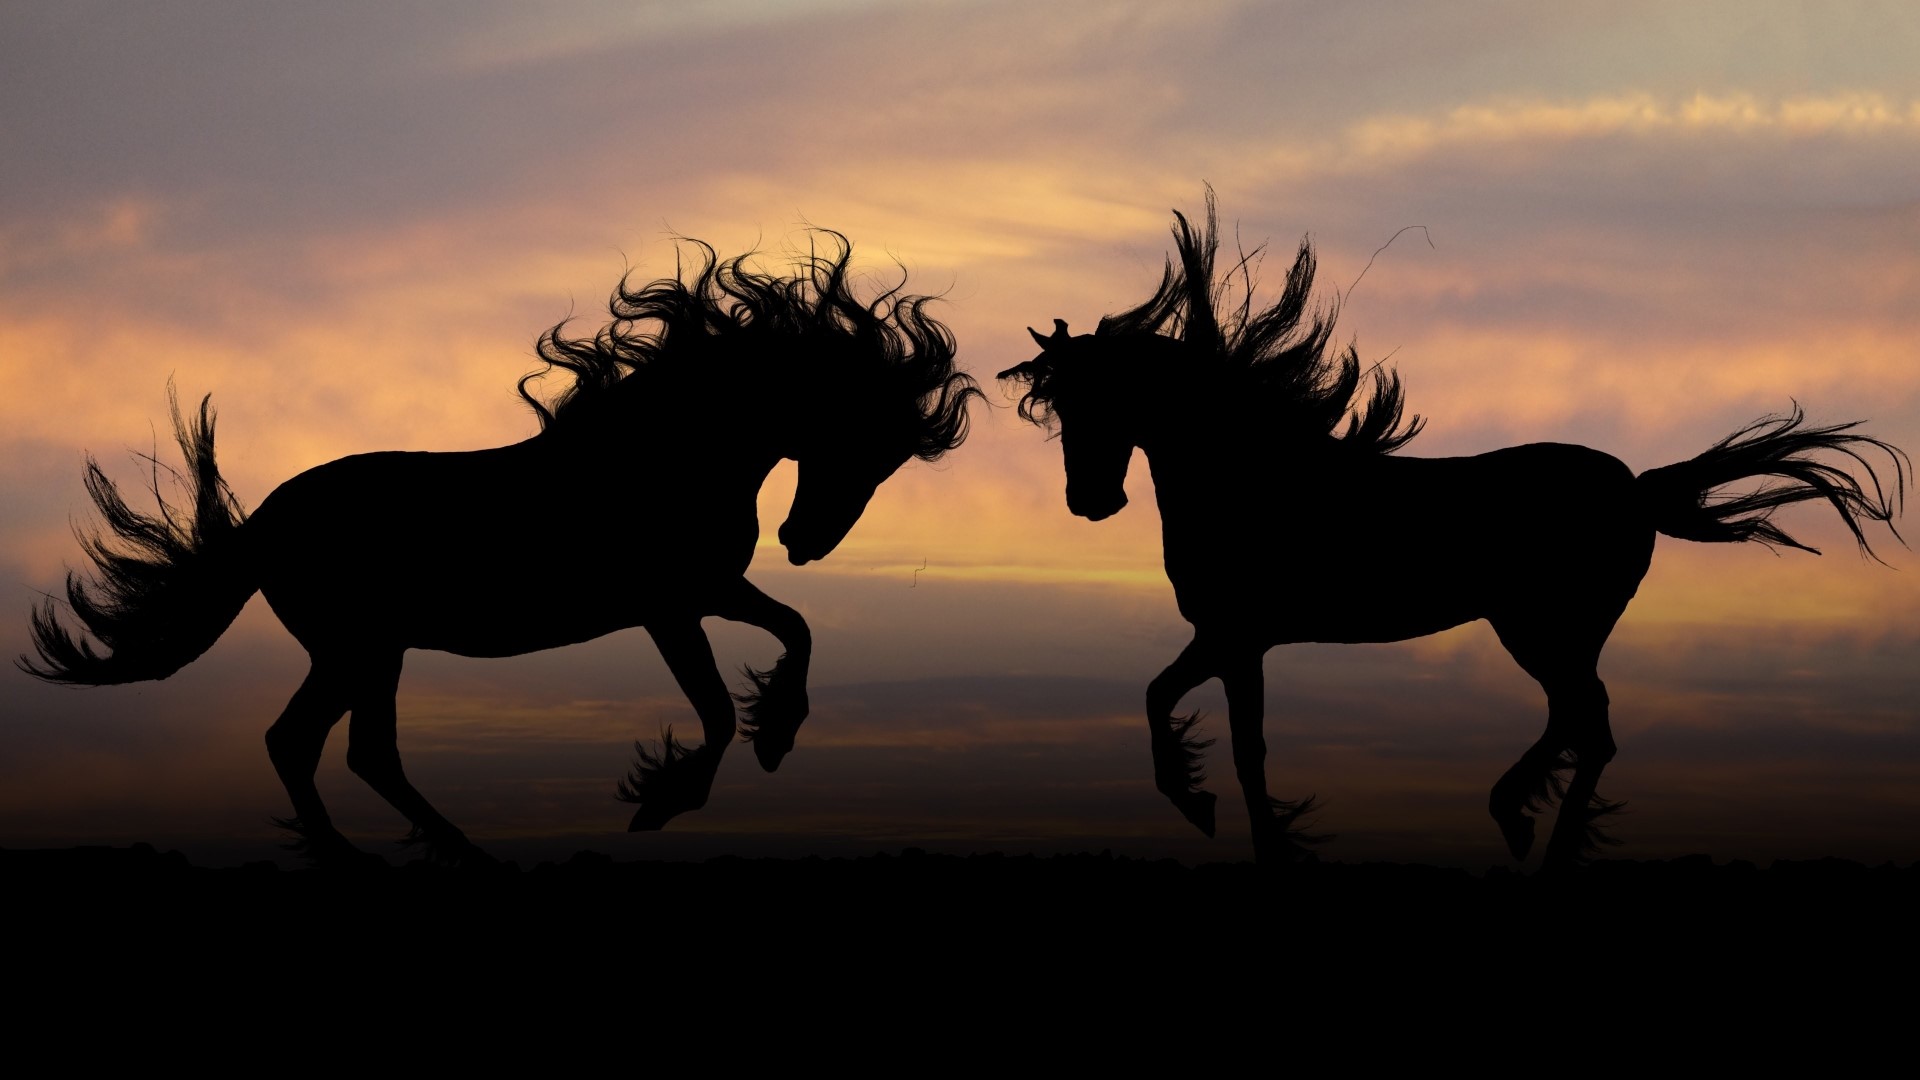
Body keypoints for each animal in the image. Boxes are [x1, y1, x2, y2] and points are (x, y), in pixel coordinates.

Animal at [22, 233, 981, 867]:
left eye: (889, 462)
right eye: (864, 441)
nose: (805, 542)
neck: (664, 452)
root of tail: (267, 521)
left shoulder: (709, 589)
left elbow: (796, 631)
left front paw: (776, 735)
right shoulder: (669, 607)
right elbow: (712, 709)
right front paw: (663, 800)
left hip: (361, 651)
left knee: (326, 746)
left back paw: (410, 857)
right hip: (361, 647)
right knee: (326, 745)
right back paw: (422, 860)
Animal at [999, 194, 1907, 871]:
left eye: (1105, 398)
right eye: (1057, 407)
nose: (1089, 502)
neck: (1253, 474)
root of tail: (1635, 489)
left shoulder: (1239, 636)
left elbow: (1236, 744)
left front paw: (1227, 822)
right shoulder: (1226, 638)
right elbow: (1170, 704)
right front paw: (1209, 811)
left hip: (1544, 625)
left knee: (1589, 722)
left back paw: (1531, 835)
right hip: (1553, 629)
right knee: (1580, 721)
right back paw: (1523, 824)